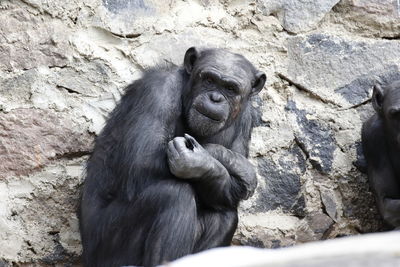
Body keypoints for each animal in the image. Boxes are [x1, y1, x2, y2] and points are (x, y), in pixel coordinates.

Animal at [79, 47, 266, 266]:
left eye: (230, 88)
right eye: (209, 80)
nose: (215, 98)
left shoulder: (247, 117)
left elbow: (230, 192)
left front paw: (207, 163)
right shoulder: (157, 90)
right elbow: (142, 159)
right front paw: (231, 164)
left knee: (224, 216)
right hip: (107, 247)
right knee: (174, 196)